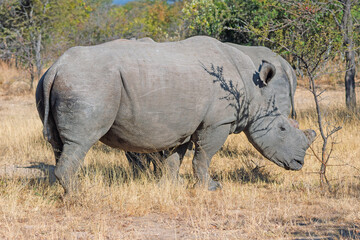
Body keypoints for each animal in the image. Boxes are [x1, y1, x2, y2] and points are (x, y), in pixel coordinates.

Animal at [35, 36, 314, 193]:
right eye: (282, 129)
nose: (299, 163)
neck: (255, 91)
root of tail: (56, 67)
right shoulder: (218, 122)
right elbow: (204, 156)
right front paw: (211, 188)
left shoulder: (185, 124)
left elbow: (175, 158)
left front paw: (171, 185)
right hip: (90, 83)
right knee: (81, 142)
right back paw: (82, 195)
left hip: (59, 82)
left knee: (58, 143)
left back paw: (61, 191)